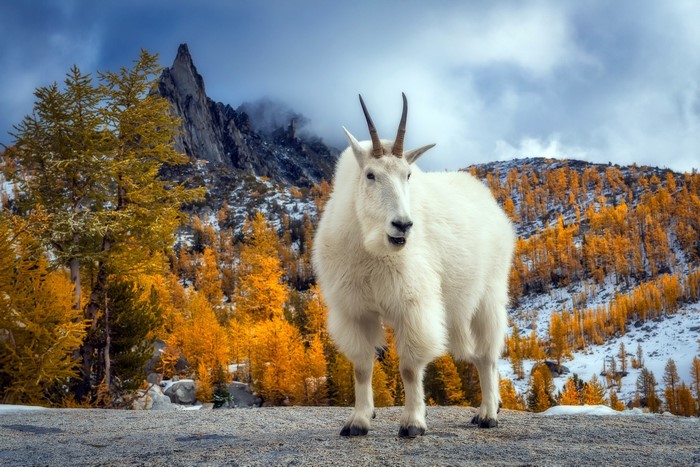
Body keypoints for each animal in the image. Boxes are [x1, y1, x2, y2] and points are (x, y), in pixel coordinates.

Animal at [312, 93, 515, 437]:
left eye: (408, 175)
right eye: (370, 175)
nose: (403, 225)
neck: (371, 250)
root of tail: (490, 202)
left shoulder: (412, 305)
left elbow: (408, 367)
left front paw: (413, 423)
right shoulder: (355, 311)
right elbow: (362, 367)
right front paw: (359, 421)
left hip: (488, 295)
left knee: (487, 354)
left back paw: (488, 413)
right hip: (456, 309)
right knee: (475, 354)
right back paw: (495, 404)